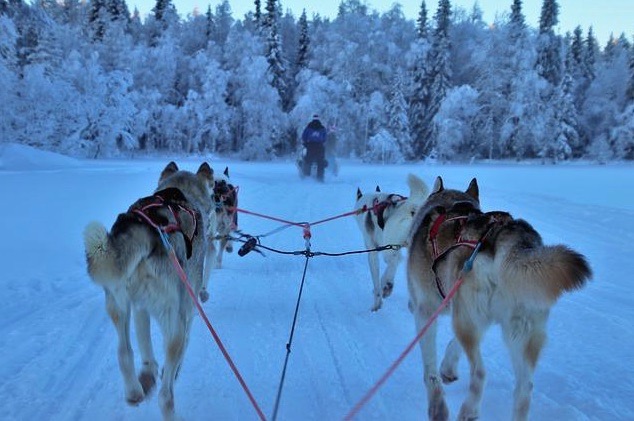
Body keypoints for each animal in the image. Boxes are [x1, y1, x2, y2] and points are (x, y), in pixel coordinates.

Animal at [82, 161, 215, 420]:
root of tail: (148, 228)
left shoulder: (139, 307)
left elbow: (144, 346)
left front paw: (147, 374)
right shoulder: (187, 310)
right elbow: (184, 345)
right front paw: (169, 372)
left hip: (118, 304)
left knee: (124, 352)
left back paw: (134, 391)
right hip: (173, 321)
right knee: (166, 396)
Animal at [354, 172, 428, 310]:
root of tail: (412, 207)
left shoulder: (374, 251)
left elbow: (378, 279)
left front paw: (377, 302)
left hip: (389, 245)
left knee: (392, 261)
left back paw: (387, 285)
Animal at [404, 176, 588, 418]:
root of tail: (506, 238)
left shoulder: (427, 312)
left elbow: (430, 370)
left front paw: (437, 405)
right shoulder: (465, 312)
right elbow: (453, 345)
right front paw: (448, 367)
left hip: (468, 322)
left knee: (480, 373)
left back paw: (469, 410)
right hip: (518, 332)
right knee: (524, 388)